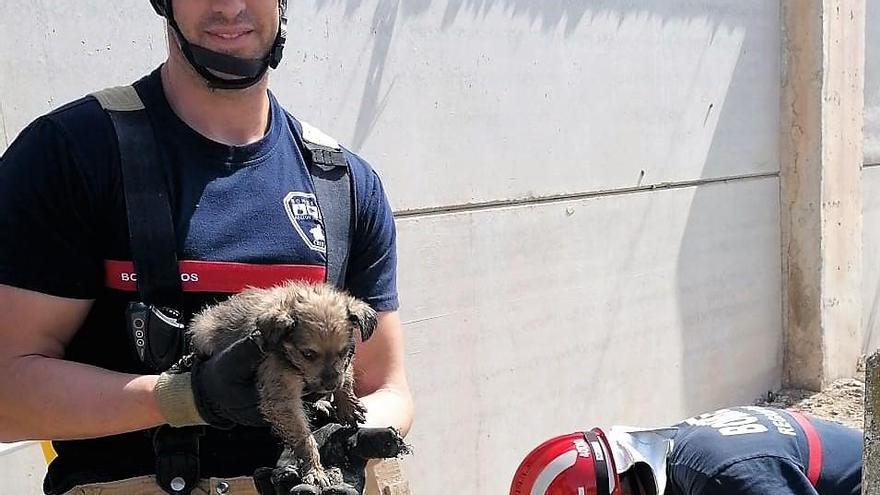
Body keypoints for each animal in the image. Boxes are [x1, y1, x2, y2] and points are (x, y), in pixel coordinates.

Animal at [187, 282, 376, 488]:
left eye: (343, 352)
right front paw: (314, 469)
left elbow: (346, 375)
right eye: (308, 354)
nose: (330, 385)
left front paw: (347, 404)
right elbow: (304, 437)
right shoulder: (281, 395)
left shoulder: (343, 364)